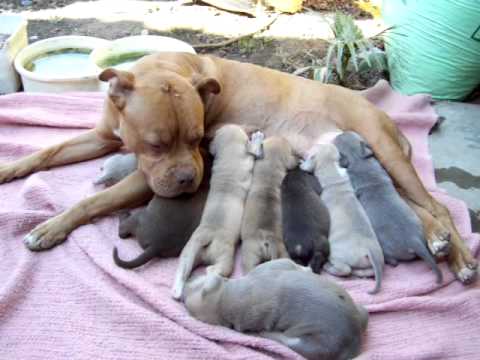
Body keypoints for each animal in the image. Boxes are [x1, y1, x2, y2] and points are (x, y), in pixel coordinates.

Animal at [172, 125, 260, 300]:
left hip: (189, 250)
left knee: (183, 270)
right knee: (212, 270)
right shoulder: (247, 158)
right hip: (224, 256)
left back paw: (177, 290)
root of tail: (207, 236)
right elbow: (253, 153)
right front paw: (257, 139)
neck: (228, 151)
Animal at [183, 258, 368, 360]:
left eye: (195, 284)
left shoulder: (268, 267)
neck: (225, 301)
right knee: (288, 342)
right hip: (316, 343)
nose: (186, 282)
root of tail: (354, 343)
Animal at [302, 142, 384, 294]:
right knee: (366, 271)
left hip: (337, 254)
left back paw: (328, 267)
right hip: (372, 262)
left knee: (345, 269)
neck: (331, 170)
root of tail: (369, 250)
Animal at [334, 132, 442, 284]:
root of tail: (414, 240)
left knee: (393, 261)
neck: (358, 158)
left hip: (387, 246)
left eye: (339, 140)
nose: (338, 133)